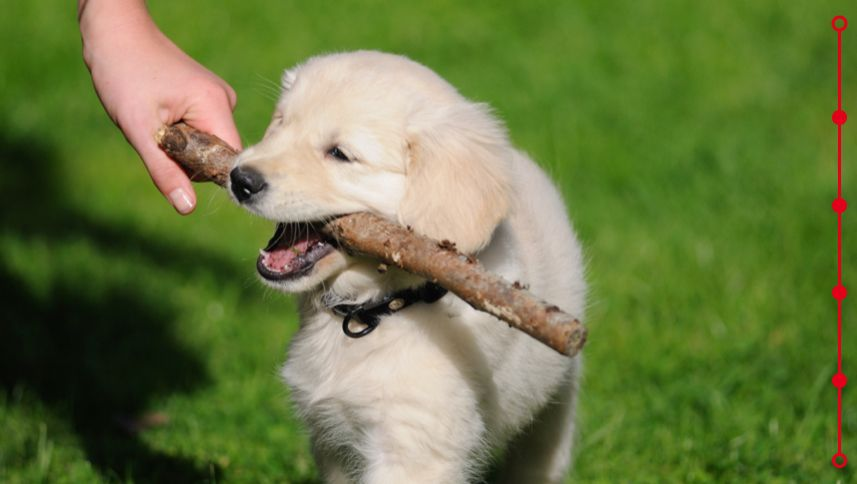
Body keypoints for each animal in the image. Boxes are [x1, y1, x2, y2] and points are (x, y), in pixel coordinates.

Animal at [231, 51, 584, 482]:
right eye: (280, 122)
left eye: (340, 154)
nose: (240, 180)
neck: (376, 311)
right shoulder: (333, 444)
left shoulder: (413, 448)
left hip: (554, 409)